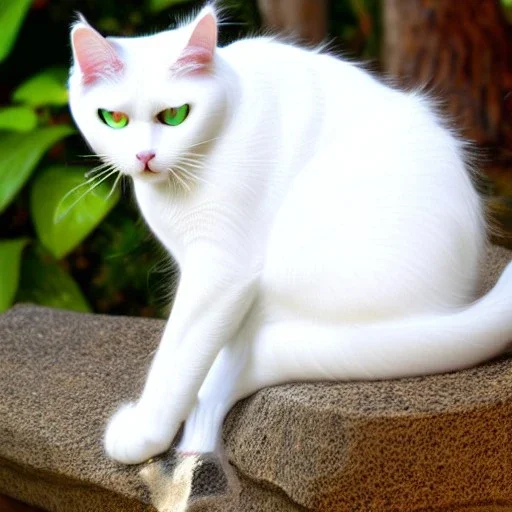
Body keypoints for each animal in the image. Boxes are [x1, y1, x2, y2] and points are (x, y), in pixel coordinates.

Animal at [69, 3, 512, 464]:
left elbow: (179, 354)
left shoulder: (222, 270)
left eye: (175, 115)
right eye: (114, 119)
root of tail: (445, 309)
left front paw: (146, 434)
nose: (144, 155)